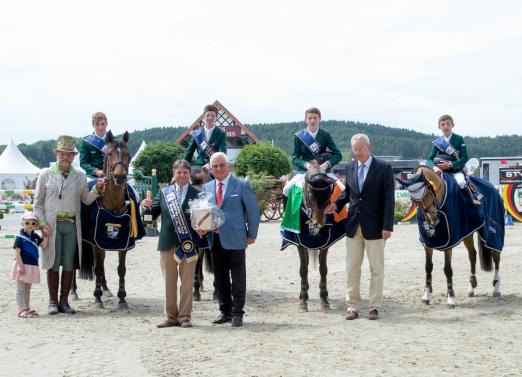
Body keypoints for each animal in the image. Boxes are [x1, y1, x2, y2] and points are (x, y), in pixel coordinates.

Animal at [278, 162, 348, 312]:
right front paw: (303, 301)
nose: (319, 223)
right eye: (311, 194)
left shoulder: (325, 243)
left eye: (329, 194)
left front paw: (324, 300)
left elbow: (323, 269)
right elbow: (303, 269)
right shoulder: (300, 243)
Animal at [396, 166, 502, 306]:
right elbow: (428, 267)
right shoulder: (428, 243)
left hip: (492, 234)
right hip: (467, 232)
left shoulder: (449, 242)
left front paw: (451, 297)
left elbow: (447, 269)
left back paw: (496, 287)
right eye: (414, 201)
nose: (431, 221)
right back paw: (471, 287)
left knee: (496, 256)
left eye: (428, 193)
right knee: (472, 255)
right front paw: (426, 295)